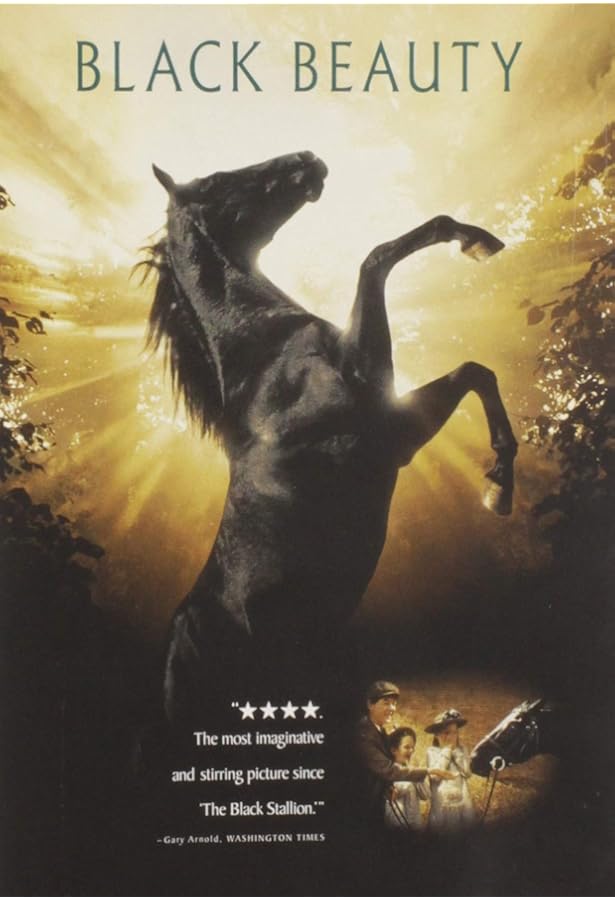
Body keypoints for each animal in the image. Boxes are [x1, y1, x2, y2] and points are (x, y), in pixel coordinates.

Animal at [143, 151, 518, 725]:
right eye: (217, 181)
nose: (306, 159)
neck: (270, 355)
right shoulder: (385, 429)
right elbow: (375, 259)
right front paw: (475, 241)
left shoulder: (399, 427)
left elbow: (477, 372)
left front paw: (499, 484)